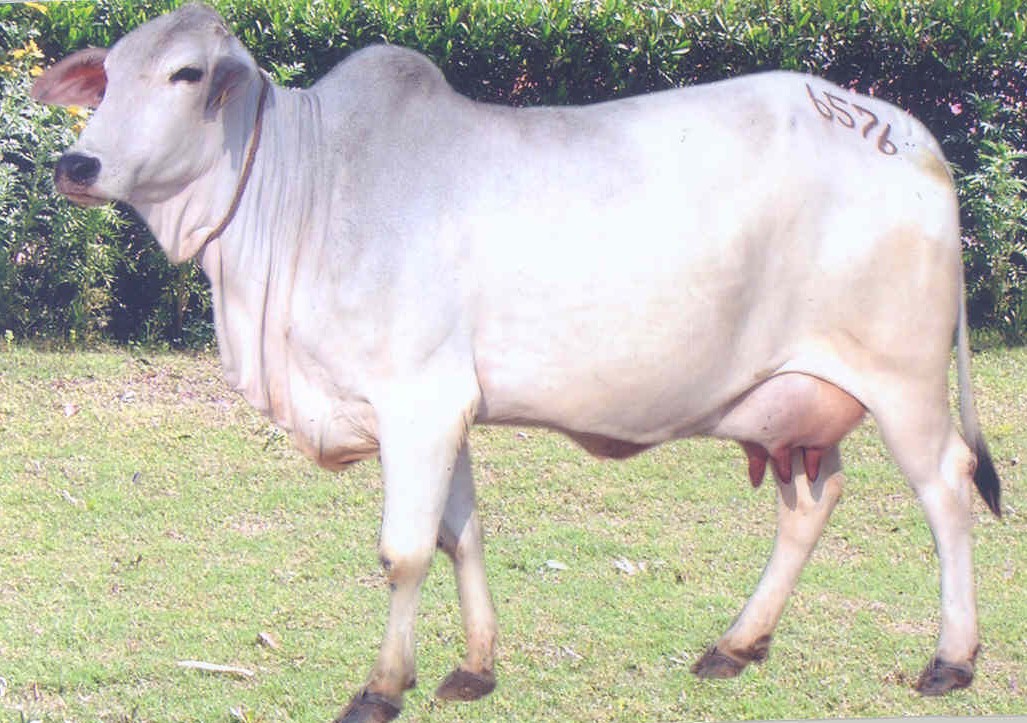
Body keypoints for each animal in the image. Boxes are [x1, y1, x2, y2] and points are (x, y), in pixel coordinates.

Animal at [32, 4, 1002, 721]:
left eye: (186, 74)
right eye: (106, 76)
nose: (76, 162)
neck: (308, 189)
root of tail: (910, 134)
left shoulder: (417, 403)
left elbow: (404, 551)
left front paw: (382, 687)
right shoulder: (446, 409)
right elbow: (460, 535)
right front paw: (473, 666)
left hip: (904, 383)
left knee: (946, 487)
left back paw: (950, 658)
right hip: (797, 401)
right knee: (811, 502)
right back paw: (735, 644)